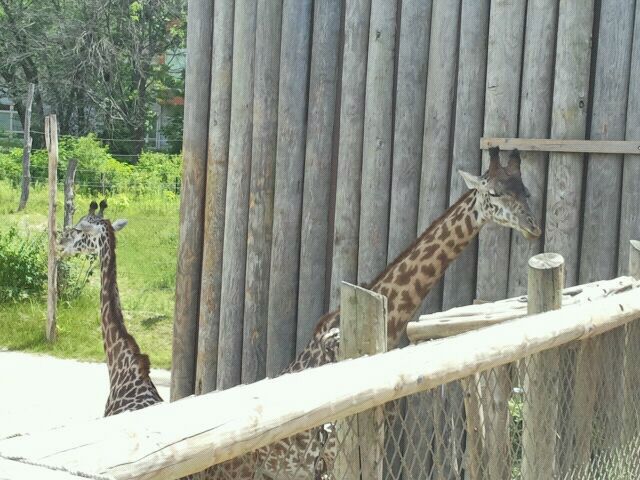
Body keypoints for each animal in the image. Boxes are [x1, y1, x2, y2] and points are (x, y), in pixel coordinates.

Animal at [205, 147, 542, 479]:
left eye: (525, 191)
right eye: (494, 192)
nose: (533, 227)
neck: (389, 322)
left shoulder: (375, 436)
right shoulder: (329, 454)